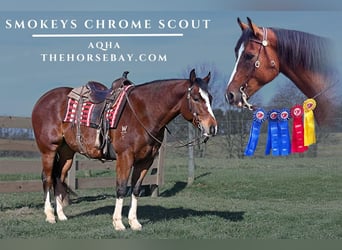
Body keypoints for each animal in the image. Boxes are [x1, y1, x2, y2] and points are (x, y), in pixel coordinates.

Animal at [31, 69, 216, 230]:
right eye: (196, 98)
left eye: (211, 98)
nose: (212, 127)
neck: (143, 112)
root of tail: (43, 100)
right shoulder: (125, 157)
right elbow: (121, 188)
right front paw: (118, 223)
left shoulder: (146, 160)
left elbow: (135, 189)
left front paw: (134, 222)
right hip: (49, 150)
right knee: (47, 178)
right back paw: (50, 215)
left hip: (67, 152)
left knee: (58, 177)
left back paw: (61, 215)